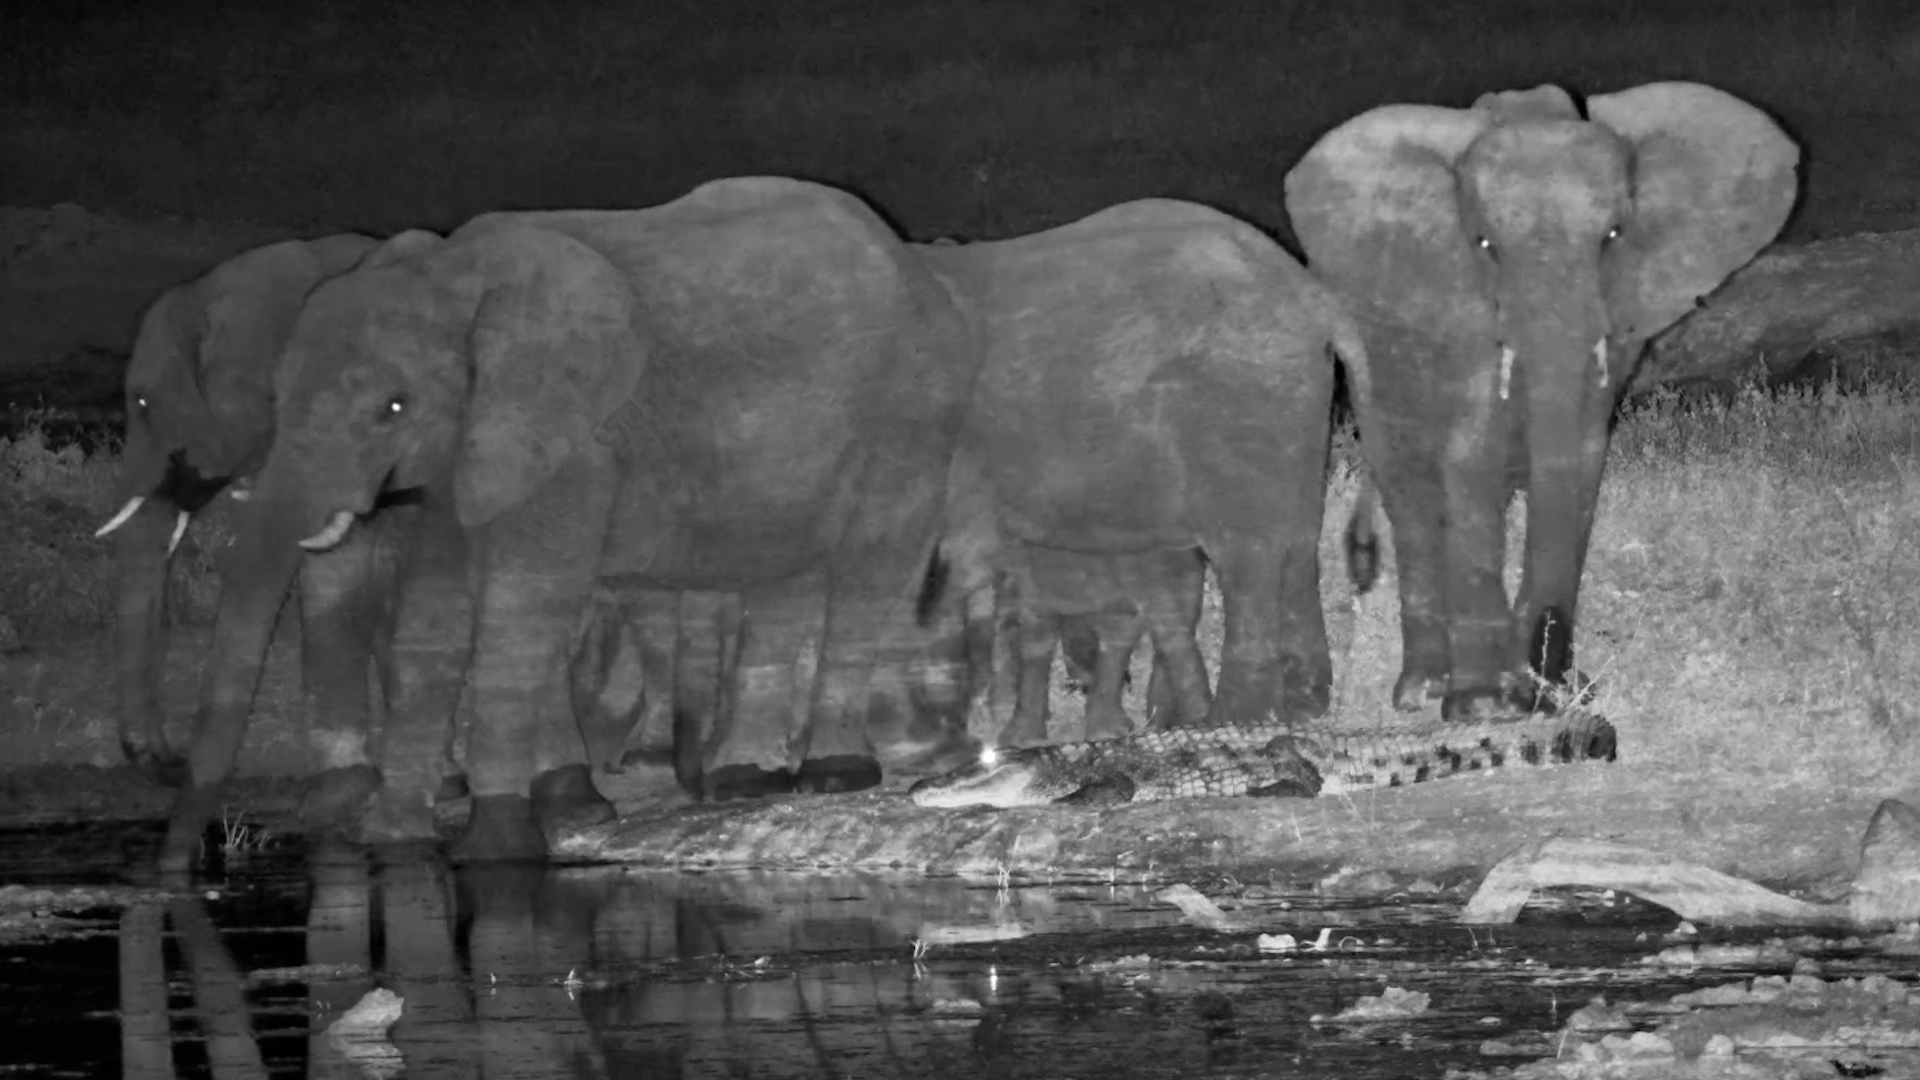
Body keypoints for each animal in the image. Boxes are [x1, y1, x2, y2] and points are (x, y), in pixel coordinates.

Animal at [162, 177, 981, 865]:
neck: (451, 276)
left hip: (912, 403)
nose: (190, 862)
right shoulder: (470, 445)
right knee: (780, 581)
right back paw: (746, 782)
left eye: (391, 408)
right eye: (279, 396)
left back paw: (835, 775)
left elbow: (523, 605)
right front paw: (394, 839)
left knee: (868, 570)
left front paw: (494, 847)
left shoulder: (574, 440)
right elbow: (435, 614)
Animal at [914, 198, 1361, 733]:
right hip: (1289, 404)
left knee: (1249, 555)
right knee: (1295, 543)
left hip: (1238, 399)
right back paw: (1297, 707)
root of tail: (1310, 297)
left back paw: (1229, 721)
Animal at [1284, 81, 1798, 720]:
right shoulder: (1459, 312)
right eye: (1484, 244)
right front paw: (1484, 706)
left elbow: (1583, 457)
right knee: (1411, 492)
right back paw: (1423, 690)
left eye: (1613, 237)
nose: (1546, 683)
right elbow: (1469, 458)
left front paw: (1560, 692)